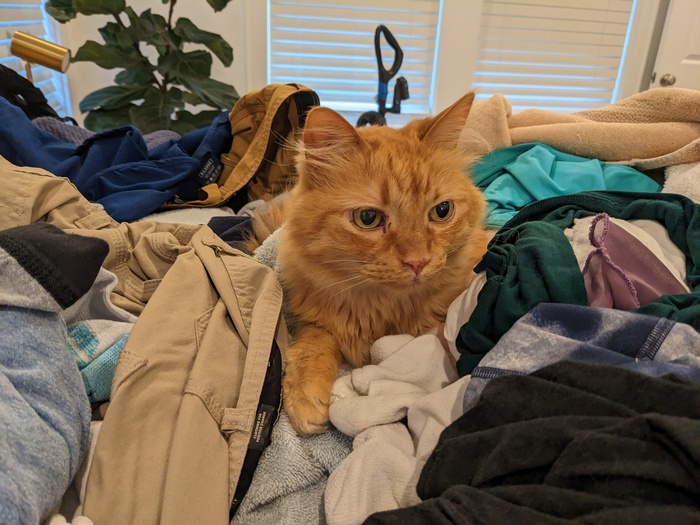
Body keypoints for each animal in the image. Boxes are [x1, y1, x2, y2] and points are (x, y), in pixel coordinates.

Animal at [252, 93, 486, 434]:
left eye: (441, 211)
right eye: (368, 218)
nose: (419, 262)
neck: (378, 309)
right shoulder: (312, 315)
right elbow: (313, 341)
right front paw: (306, 392)